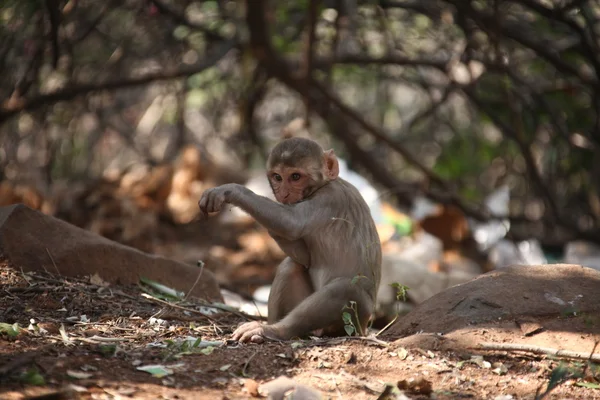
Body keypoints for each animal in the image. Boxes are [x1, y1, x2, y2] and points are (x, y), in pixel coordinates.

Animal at [199, 138, 382, 344]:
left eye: (295, 177)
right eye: (278, 177)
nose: (284, 194)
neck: (324, 184)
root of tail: (365, 328)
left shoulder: (329, 199)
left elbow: (292, 224)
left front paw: (231, 191)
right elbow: (305, 258)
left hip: (354, 321)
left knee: (345, 290)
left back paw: (274, 331)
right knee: (290, 267)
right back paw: (271, 326)